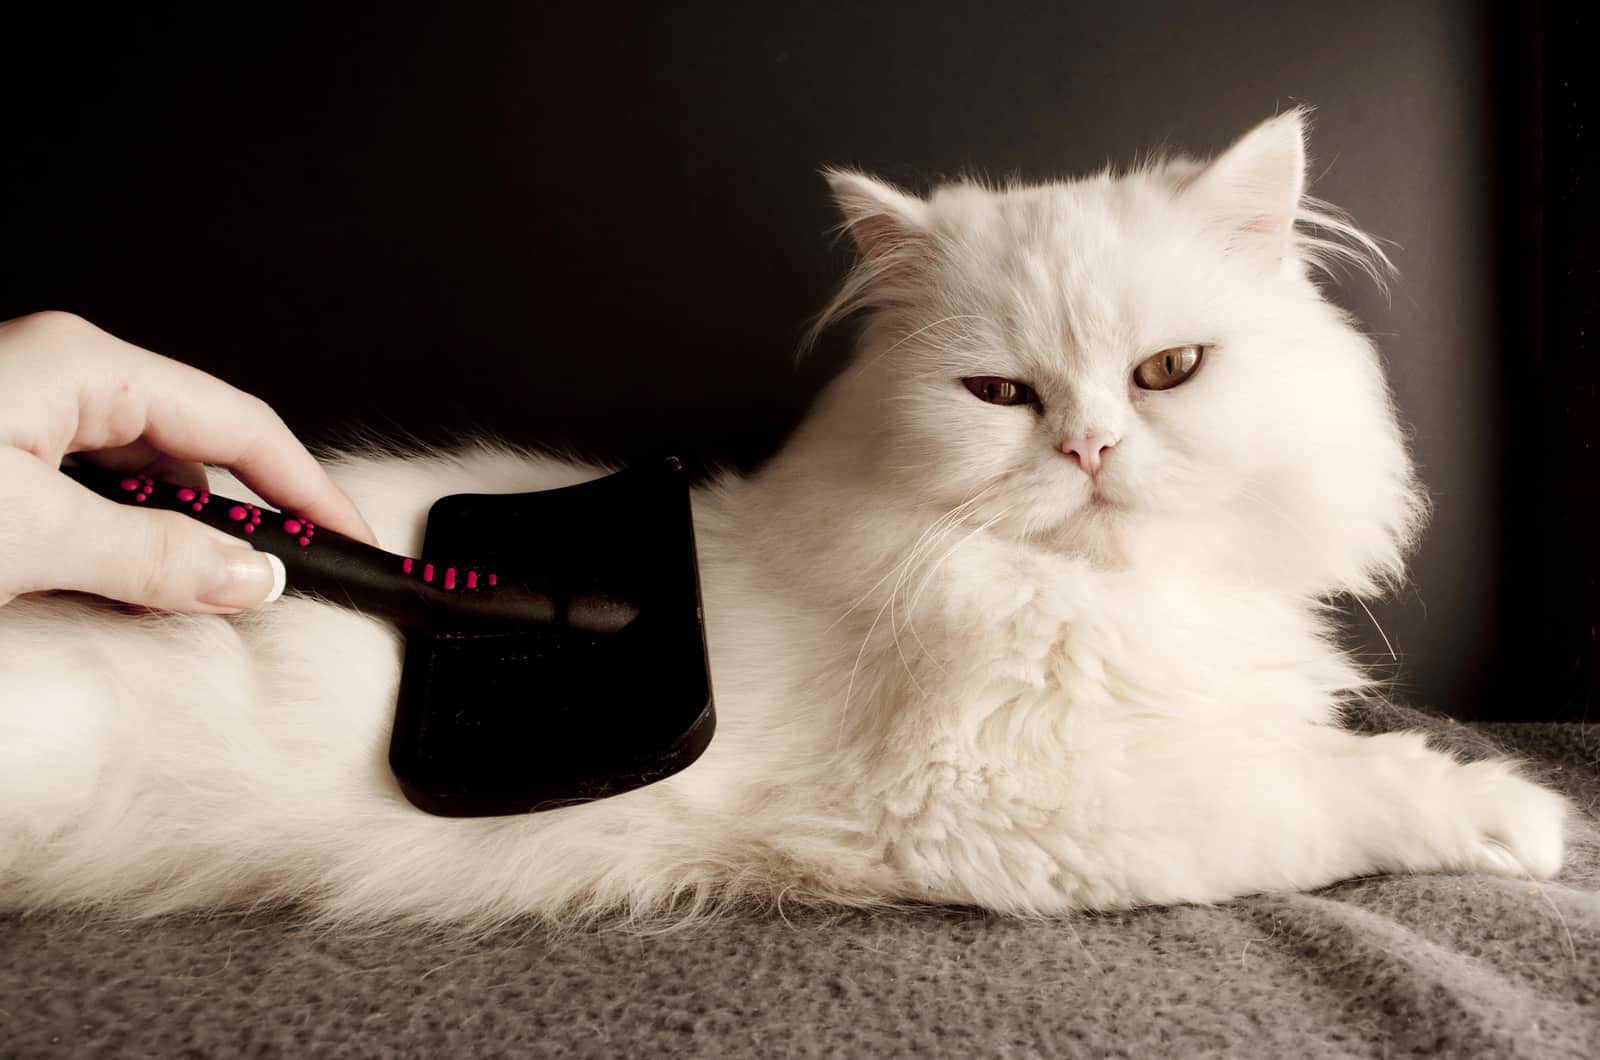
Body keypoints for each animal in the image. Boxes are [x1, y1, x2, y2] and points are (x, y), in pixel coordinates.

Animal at [0, 108, 1568, 922]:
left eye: (1168, 372)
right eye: (1002, 394)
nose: (1090, 447)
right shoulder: (1022, 803)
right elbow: (1332, 787)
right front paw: (1525, 822)